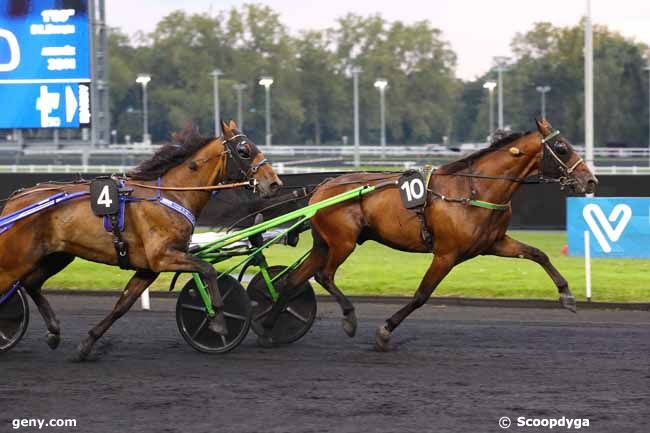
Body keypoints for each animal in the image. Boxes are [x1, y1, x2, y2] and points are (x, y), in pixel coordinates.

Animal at [0, 119, 280, 358]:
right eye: (244, 150)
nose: (275, 183)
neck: (172, 194)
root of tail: (14, 200)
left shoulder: (149, 268)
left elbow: (122, 304)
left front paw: (87, 344)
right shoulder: (163, 257)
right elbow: (208, 270)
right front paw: (218, 322)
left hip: (57, 256)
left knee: (32, 284)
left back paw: (54, 332)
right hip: (17, 260)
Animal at [258, 119, 596, 352]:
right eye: (562, 148)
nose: (590, 180)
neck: (473, 189)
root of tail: (324, 184)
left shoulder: (494, 243)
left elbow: (539, 254)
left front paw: (567, 295)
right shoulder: (446, 254)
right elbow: (421, 295)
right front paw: (384, 332)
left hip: (324, 243)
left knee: (293, 280)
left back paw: (269, 324)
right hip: (343, 241)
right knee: (324, 275)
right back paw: (349, 318)